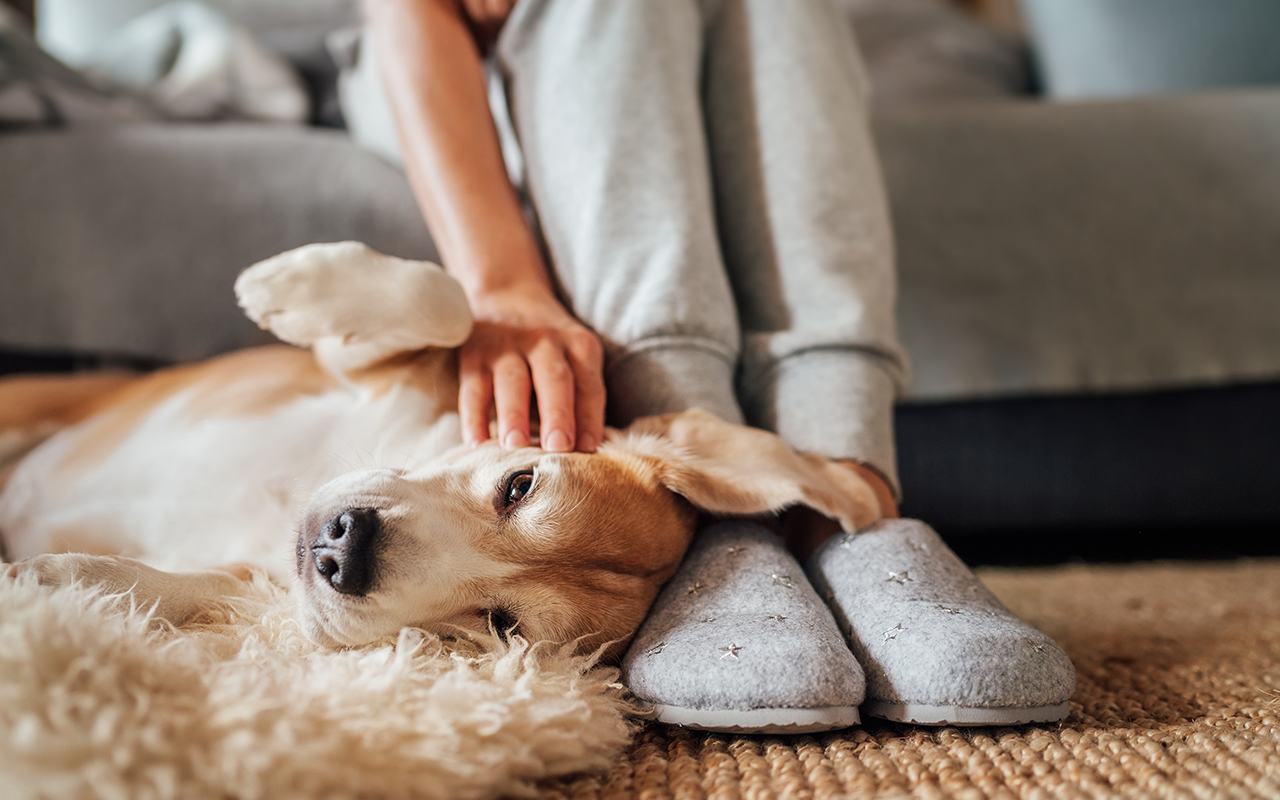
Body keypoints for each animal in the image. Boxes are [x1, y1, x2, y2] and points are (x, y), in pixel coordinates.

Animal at [0, 241, 880, 655]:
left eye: (502, 624)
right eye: (520, 484)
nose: (344, 550)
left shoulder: (254, 582)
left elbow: (179, 586)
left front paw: (53, 584)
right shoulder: (367, 371)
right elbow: (447, 303)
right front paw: (290, 287)